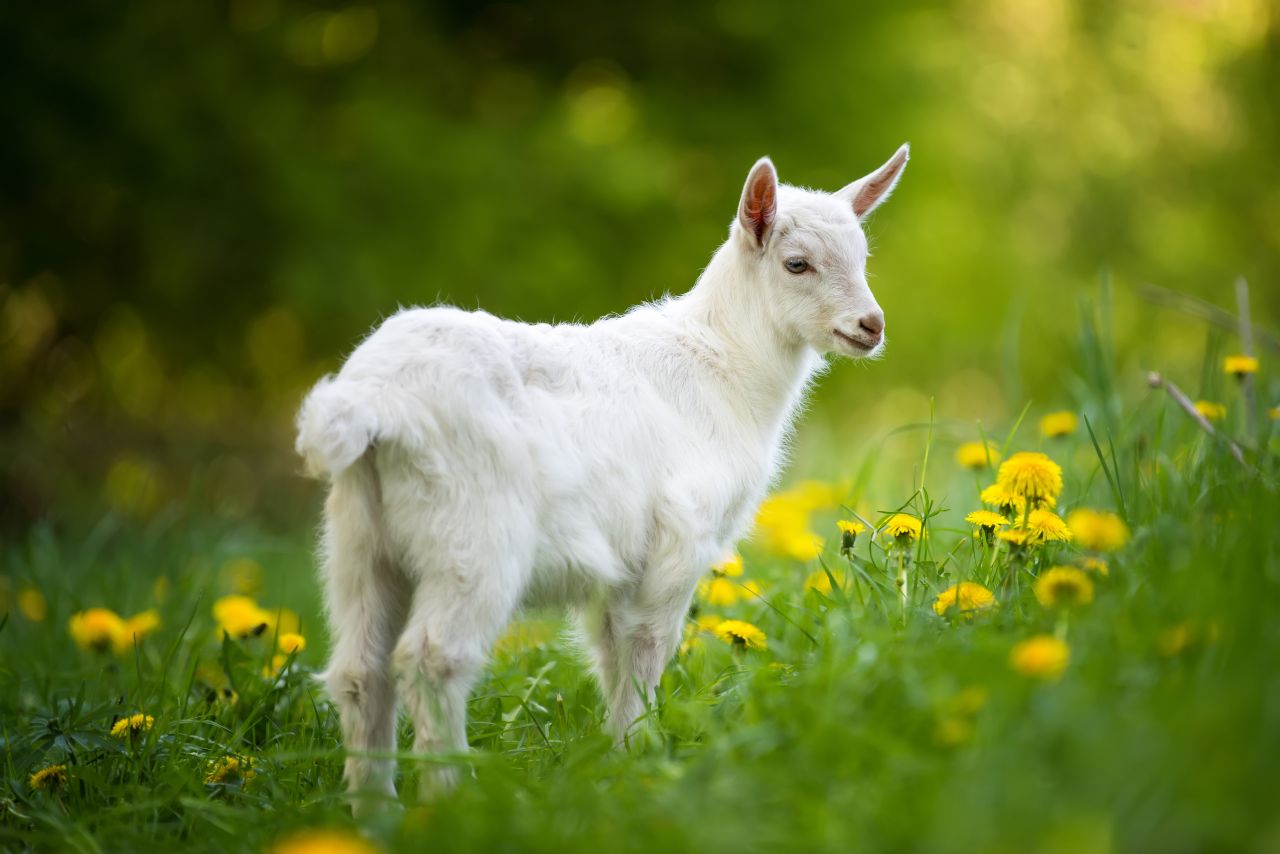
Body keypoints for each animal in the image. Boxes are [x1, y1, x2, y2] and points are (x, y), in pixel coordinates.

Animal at [295, 145, 910, 808]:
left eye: (863, 258)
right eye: (797, 264)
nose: (871, 326)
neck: (723, 364)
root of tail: (372, 401)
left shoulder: (624, 558)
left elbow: (612, 649)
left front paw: (613, 761)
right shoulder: (681, 532)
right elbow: (648, 646)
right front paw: (639, 759)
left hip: (359, 537)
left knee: (360, 671)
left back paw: (376, 811)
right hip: (473, 534)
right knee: (433, 658)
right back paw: (452, 802)